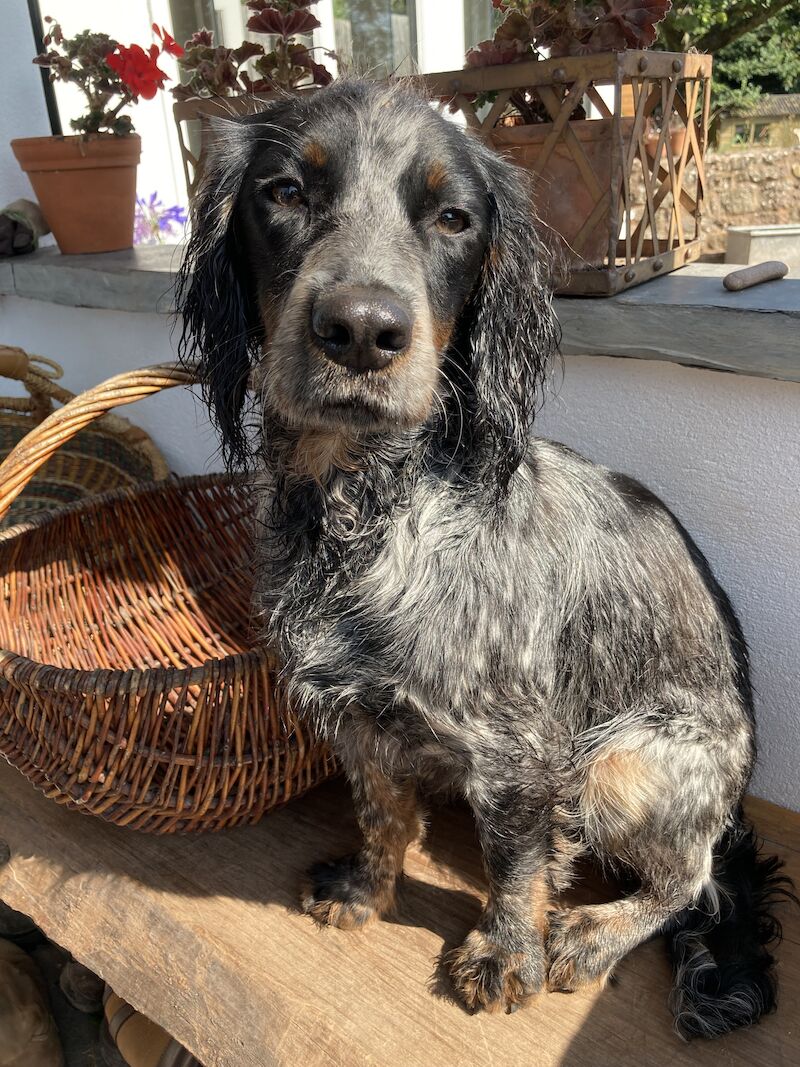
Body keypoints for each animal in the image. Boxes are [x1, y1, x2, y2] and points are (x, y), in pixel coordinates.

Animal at [172, 78, 793, 1037]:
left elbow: (517, 862)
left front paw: (507, 953)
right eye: (284, 193)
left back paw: (592, 933)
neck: (363, 515)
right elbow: (382, 812)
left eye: (453, 217)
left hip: (620, 763)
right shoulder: (354, 716)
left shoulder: (520, 749)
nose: (361, 329)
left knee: (693, 882)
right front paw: (366, 887)